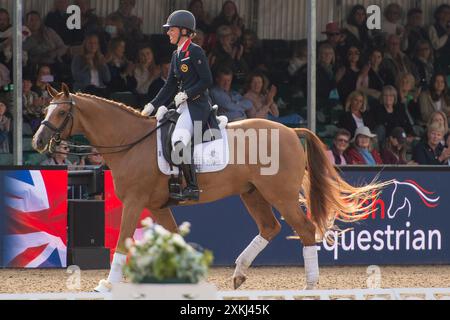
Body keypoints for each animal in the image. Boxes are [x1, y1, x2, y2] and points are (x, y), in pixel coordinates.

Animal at [33, 84, 388, 292]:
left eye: (61, 111)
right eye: (45, 110)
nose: (37, 141)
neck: (131, 142)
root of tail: (290, 131)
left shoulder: (135, 202)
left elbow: (121, 242)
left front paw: (107, 284)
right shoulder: (158, 206)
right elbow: (176, 239)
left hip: (281, 195)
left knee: (304, 229)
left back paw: (311, 285)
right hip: (252, 193)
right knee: (270, 227)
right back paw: (239, 273)